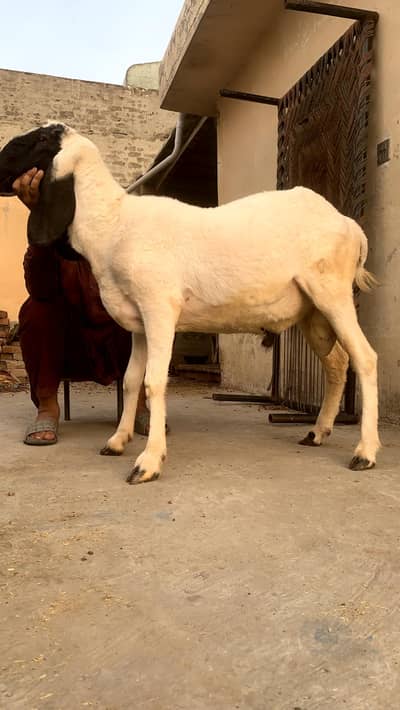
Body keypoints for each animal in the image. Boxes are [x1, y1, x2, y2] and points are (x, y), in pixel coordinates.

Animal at [0, 122, 380, 483]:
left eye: (41, 139)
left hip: (332, 292)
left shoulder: (160, 309)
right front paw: (118, 442)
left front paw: (149, 463)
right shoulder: (139, 322)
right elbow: (131, 380)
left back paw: (365, 453)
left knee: (365, 358)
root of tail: (350, 225)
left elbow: (154, 382)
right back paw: (317, 432)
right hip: (312, 311)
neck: (113, 224)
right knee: (337, 363)